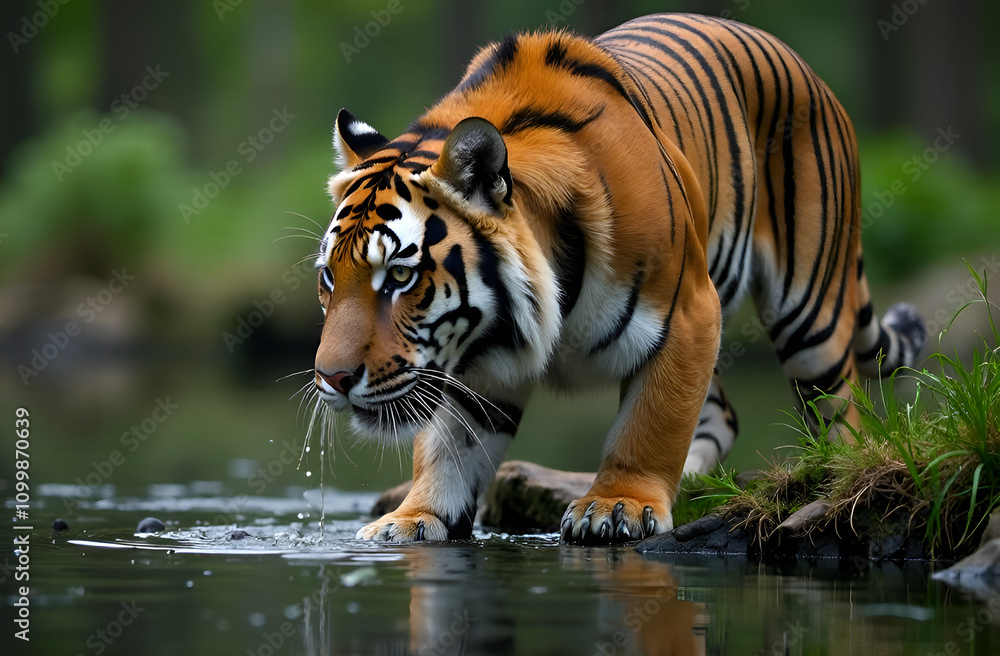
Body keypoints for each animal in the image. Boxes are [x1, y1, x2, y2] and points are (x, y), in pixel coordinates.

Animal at [311, 13, 926, 544]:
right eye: (329, 279)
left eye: (399, 276)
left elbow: (651, 421)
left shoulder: (689, 313)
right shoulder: (474, 360)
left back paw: (831, 483)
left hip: (809, 312)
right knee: (723, 412)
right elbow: (448, 444)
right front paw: (411, 519)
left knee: (841, 416)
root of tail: (810, 73)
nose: (331, 379)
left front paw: (617, 505)